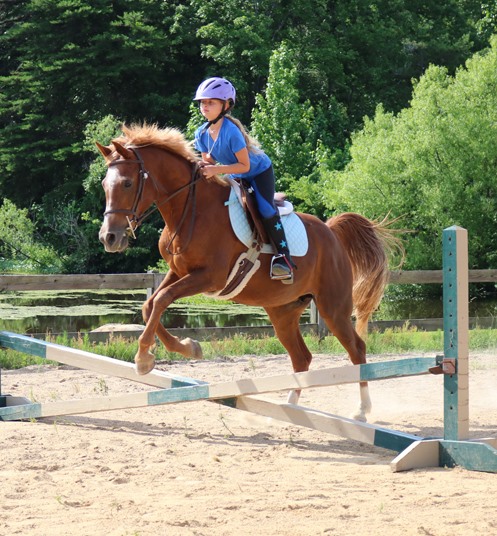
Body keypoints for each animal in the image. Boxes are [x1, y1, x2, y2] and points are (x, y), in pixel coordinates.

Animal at [97, 123, 400, 420]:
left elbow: (161, 300)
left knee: (357, 349)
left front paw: (143, 358)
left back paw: (361, 410)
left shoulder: (208, 277)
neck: (191, 209)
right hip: (283, 311)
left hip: (332, 307)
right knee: (302, 357)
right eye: (104, 185)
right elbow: (150, 305)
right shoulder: (178, 272)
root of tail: (332, 233)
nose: (109, 238)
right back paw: (291, 407)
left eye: (127, 183)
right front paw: (187, 347)